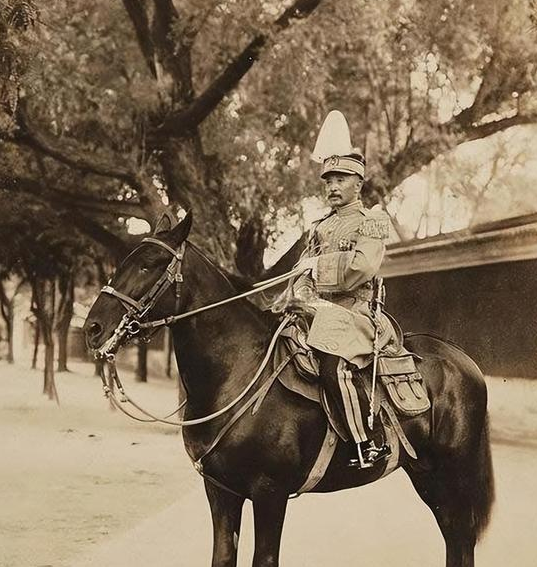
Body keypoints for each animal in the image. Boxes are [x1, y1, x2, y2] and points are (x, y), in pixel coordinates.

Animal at [85, 214, 494, 567]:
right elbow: (223, 556)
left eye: (149, 263)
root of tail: (462, 358)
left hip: (454, 472)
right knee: (453, 537)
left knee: (462, 537)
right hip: (426, 473)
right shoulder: (221, 490)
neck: (236, 371)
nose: (93, 328)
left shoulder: (270, 493)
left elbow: (265, 559)